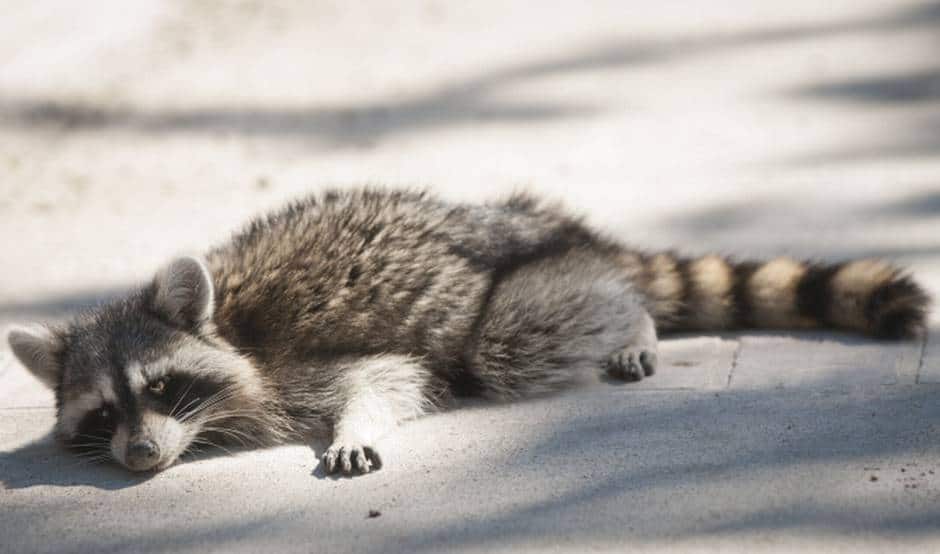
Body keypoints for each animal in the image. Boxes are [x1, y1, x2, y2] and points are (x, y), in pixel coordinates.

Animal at [7, 189, 930, 475]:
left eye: (161, 386)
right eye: (103, 411)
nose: (138, 457)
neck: (229, 328)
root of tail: (557, 226)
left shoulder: (298, 361)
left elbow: (383, 377)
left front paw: (354, 425)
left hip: (511, 293)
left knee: (519, 333)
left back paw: (631, 315)